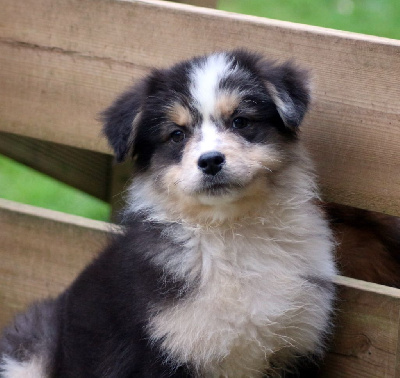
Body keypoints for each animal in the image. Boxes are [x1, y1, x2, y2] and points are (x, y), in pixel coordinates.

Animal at [0, 51, 336, 378]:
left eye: (240, 121)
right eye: (176, 135)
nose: (210, 161)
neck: (230, 231)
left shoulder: (294, 347)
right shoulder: (158, 351)